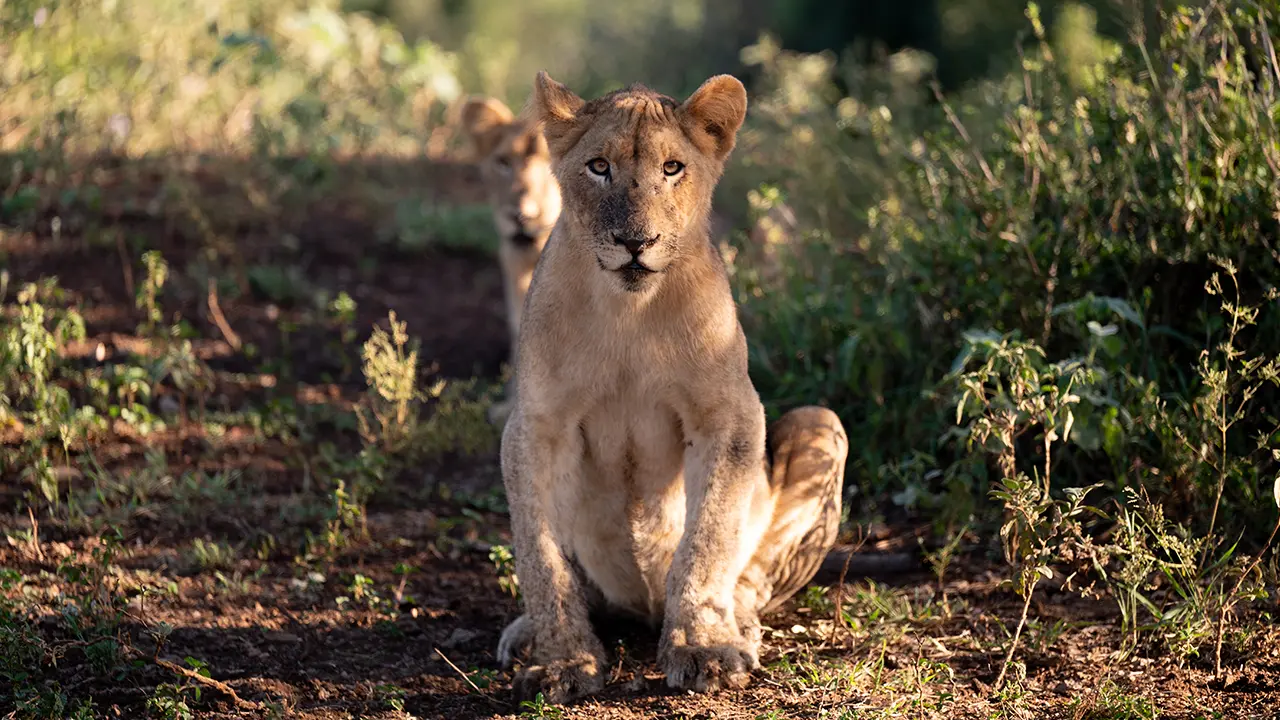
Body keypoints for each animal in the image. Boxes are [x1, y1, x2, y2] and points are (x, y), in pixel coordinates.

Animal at [493, 70, 849, 704]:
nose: (635, 241)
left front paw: (702, 647)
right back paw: (528, 632)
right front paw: (561, 660)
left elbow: (708, 536)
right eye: (599, 166)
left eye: (672, 167)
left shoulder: (731, 415)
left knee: (752, 576)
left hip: (820, 421)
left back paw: (739, 624)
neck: (631, 313)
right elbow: (540, 555)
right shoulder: (535, 425)